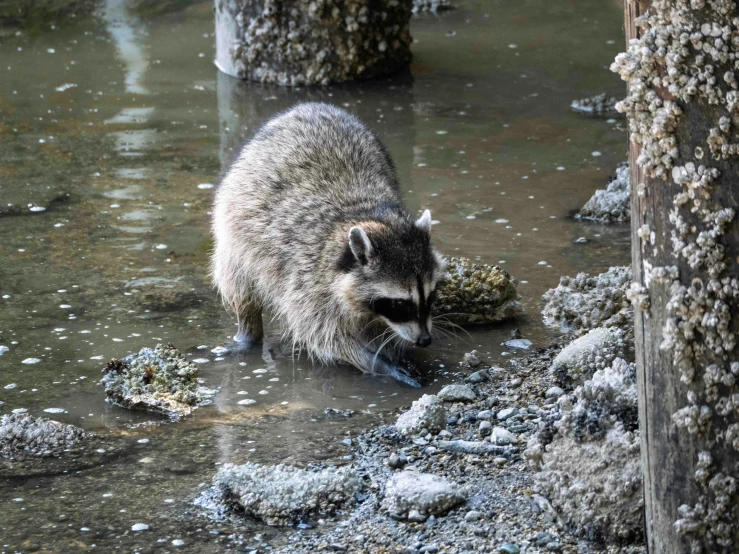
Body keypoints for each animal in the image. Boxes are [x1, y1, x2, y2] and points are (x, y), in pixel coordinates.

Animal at [214, 101, 446, 384]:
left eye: (431, 295)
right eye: (400, 304)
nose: (424, 340)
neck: (368, 217)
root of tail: (309, 106)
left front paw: (392, 348)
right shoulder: (306, 282)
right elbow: (326, 337)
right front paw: (378, 362)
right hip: (234, 232)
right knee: (238, 283)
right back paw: (248, 331)